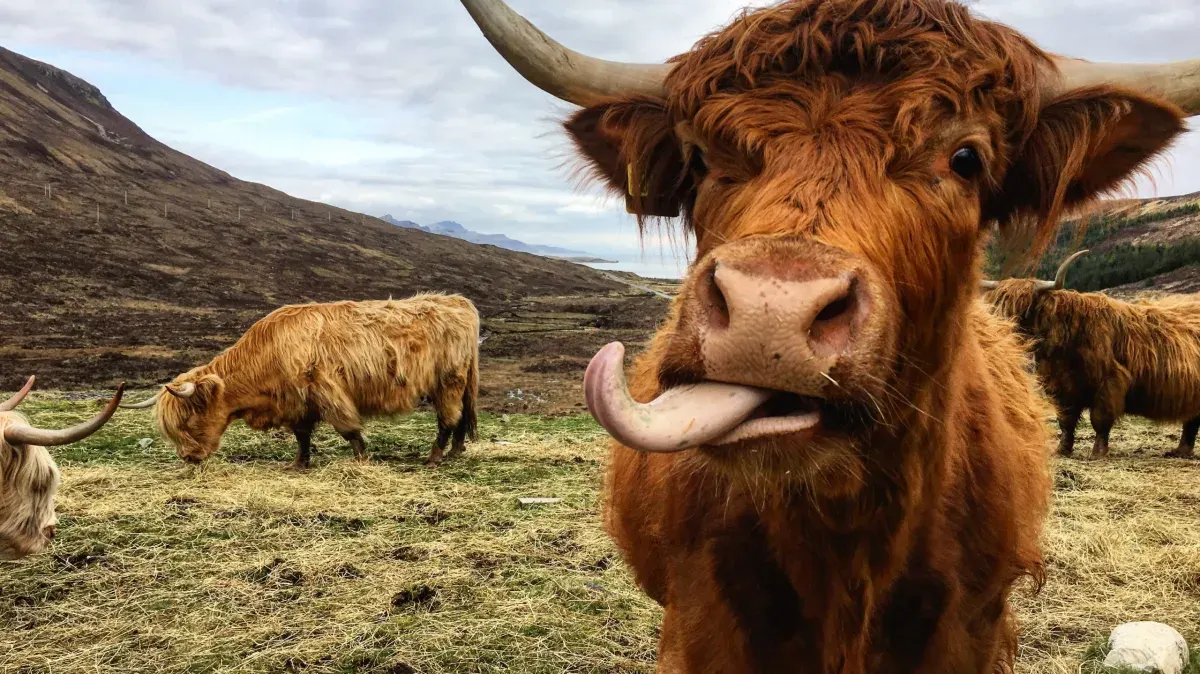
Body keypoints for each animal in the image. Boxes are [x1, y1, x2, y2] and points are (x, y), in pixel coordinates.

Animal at [119, 294, 480, 469]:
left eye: (188, 420)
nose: (189, 458)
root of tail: (458, 301)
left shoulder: (324, 389)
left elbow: (348, 428)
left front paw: (362, 459)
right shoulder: (296, 401)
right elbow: (302, 435)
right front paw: (298, 463)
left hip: (448, 380)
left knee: (448, 418)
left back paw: (435, 457)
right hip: (458, 382)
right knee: (462, 414)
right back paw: (456, 451)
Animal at [983, 250, 1200, 460]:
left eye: (1025, 307)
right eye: (997, 306)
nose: (1000, 332)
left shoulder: (1108, 384)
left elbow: (1099, 419)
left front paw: (1098, 453)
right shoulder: (1061, 387)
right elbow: (1066, 421)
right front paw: (1062, 450)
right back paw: (1181, 451)